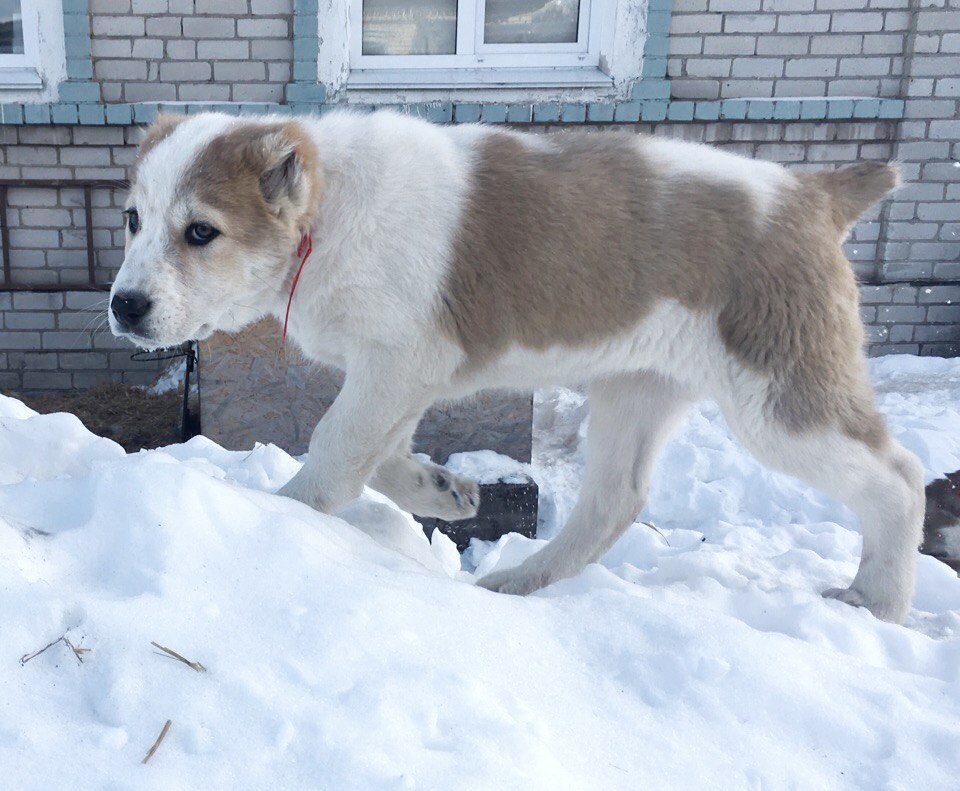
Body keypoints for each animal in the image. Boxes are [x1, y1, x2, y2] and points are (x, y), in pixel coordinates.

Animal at [109, 110, 928, 624]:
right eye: (132, 220)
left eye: (201, 232)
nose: (123, 306)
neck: (329, 211)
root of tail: (813, 191)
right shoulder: (403, 372)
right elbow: (377, 450)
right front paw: (442, 492)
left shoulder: (397, 361)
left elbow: (336, 445)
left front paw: (288, 515)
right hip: (639, 387)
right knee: (614, 500)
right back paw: (517, 583)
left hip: (777, 394)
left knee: (897, 477)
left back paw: (879, 604)